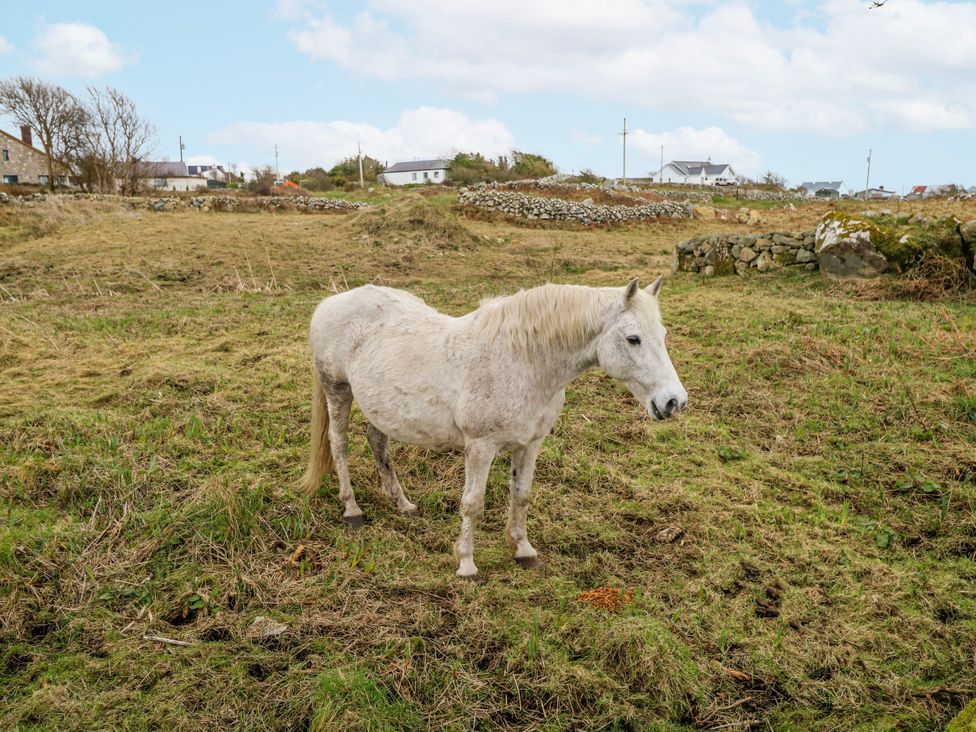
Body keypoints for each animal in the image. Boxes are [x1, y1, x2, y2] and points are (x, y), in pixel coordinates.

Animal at [300, 277, 687, 579]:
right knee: (339, 443)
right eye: (634, 338)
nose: (674, 401)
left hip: (381, 407)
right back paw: (352, 510)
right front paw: (466, 565)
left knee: (377, 441)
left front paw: (524, 551)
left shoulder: (531, 443)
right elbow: (473, 504)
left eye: (662, 334)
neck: (521, 362)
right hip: (338, 391)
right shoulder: (480, 448)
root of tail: (331, 302)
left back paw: (403, 504)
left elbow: (521, 495)